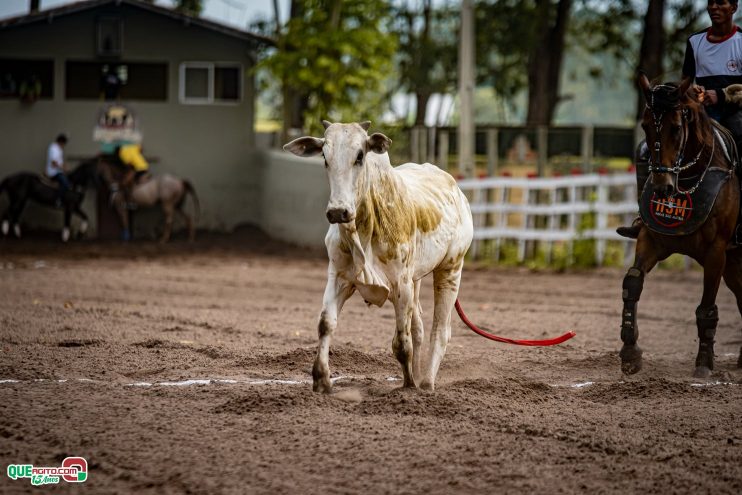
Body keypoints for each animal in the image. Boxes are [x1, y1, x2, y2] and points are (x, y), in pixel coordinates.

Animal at [282, 121, 474, 392]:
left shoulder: (401, 285)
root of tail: (456, 189)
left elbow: (401, 343)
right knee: (419, 328)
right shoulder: (338, 276)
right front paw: (321, 380)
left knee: (440, 330)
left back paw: (425, 384)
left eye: (360, 155)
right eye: (325, 157)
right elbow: (326, 323)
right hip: (418, 279)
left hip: (451, 269)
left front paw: (408, 387)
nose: (338, 211)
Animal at [624, 73, 742, 378]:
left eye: (676, 128)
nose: (662, 187)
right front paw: (630, 352)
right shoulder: (652, 240)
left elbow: (706, 307)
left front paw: (704, 363)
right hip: (734, 263)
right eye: (645, 126)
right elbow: (632, 284)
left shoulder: (716, 253)